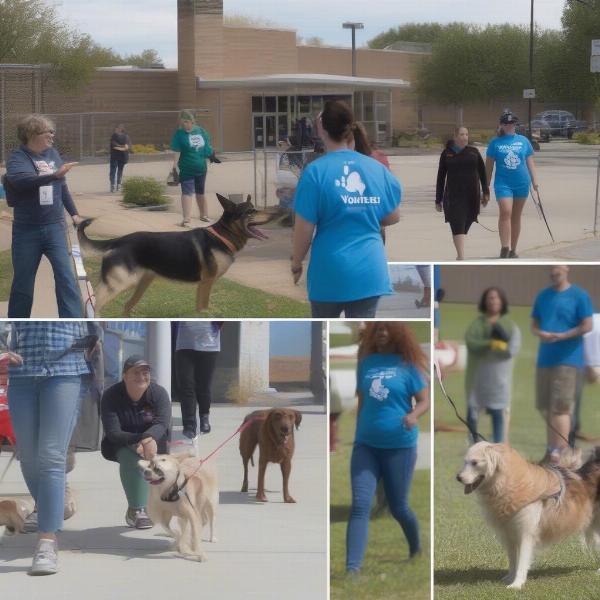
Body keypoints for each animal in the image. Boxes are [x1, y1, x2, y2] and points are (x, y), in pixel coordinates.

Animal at [79, 195, 284, 316]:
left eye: (255, 208)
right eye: (250, 212)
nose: (277, 214)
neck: (222, 235)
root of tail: (118, 241)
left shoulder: (203, 286)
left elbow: (200, 310)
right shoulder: (206, 282)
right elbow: (204, 308)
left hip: (140, 284)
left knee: (125, 306)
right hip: (121, 282)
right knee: (96, 302)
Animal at [458, 442, 600, 588]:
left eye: (475, 463)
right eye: (465, 462)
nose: (458, 477)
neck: (509, 483)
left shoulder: (526, 533)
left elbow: (522, 561)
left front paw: (517, 584)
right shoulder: (509, 535)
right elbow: (513, 561)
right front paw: (510, 578)